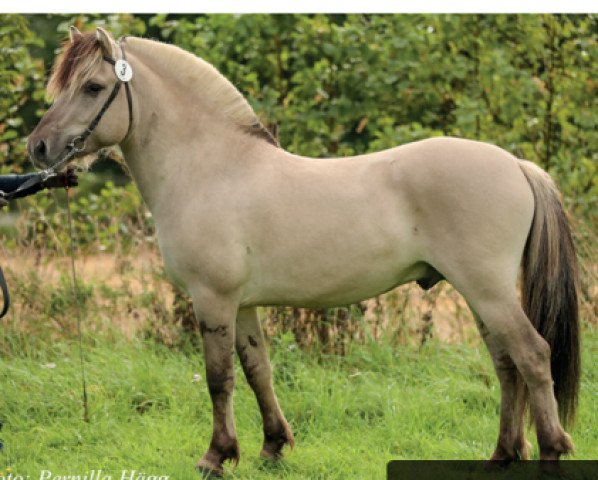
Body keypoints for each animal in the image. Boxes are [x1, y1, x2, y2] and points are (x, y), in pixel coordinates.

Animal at [27, 28, 580, 474]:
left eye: (93, 87)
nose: (38, 148)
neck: (210, 168)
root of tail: (516, 165)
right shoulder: (242, 305)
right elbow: (258, 371)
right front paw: (272, 447)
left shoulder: (212, 300)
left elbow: (219, 378)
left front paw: (215, 456)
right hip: (479, 295)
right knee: (506, 365)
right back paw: (502, 456)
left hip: (487, 291)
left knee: (532, 356)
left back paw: (551, 451)